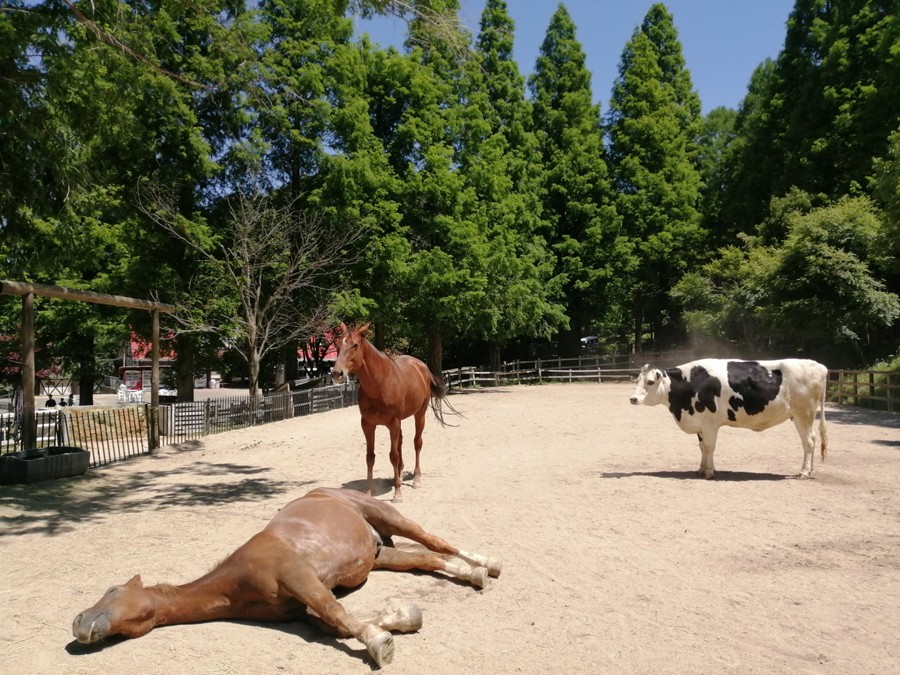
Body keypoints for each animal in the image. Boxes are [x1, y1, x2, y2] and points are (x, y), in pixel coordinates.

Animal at [73, 487, 501, 668]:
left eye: (112, 589)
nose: (79, 622)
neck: (234, 583)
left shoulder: (300, 579)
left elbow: (340, 615)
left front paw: (380, 644)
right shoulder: (298, 612)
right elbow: (336, 624)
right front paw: (403, 618)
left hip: (389, 517)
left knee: (436, 541)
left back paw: (488, 563)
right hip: (382, 555)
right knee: (427, 558)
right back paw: (475, 573)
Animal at [330, 322, 454, 502]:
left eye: (355, 345)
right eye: (337, 344)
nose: (337, 373)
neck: (379, 384)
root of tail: (421, 366)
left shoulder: (392, 423)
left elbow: (393, 455)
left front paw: (397, 493)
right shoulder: (367, 425)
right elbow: (370, 457)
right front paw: (369, 493)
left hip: (420, 414)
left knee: (417, 443)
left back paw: (416, 479)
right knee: (401, 442)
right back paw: (400, 476)